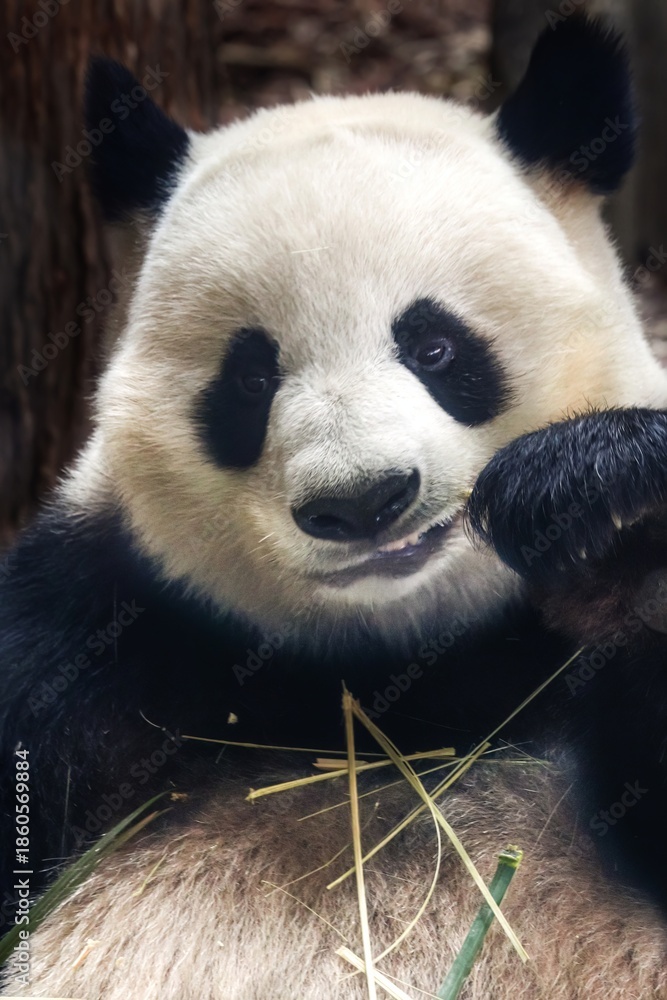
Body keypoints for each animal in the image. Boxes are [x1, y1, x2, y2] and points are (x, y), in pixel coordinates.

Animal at [2, 14, 667, 999]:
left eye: (434, 345)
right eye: (249, 377)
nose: (362, 503)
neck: (387, 678)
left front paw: (604, 517)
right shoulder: (91, 622)